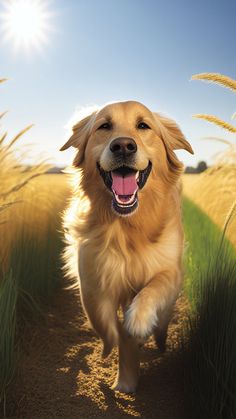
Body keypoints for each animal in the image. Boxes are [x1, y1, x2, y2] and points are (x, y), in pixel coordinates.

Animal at [60, 101, 194, 394]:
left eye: (143, 125)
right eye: (104, 126)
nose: (123, 146)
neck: (127, 226)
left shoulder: (172, 270)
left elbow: (155, 287)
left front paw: (139, 321)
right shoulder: (92, 276)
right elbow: (103, 321)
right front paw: (116, 359)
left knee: (162, 320)